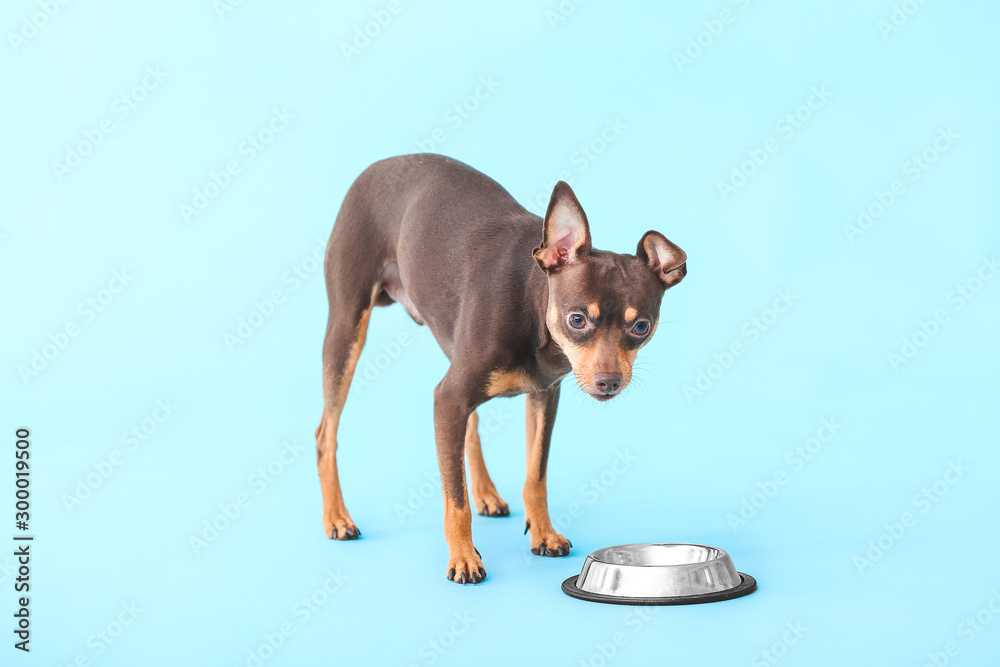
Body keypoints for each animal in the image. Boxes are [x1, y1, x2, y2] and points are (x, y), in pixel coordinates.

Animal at [314, 154, 688, 580]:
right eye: (577, 320)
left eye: (641, 327)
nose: (609, 382)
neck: (533, 308)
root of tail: (381, 163)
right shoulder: (449, 398)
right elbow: (454, 497)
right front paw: (463, 556)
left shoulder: (543, 397)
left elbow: (535, 476)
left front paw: (543, 533)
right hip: (347, 330)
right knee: (326, 433)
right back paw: (336, 516)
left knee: (470, 427)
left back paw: (486, 493)